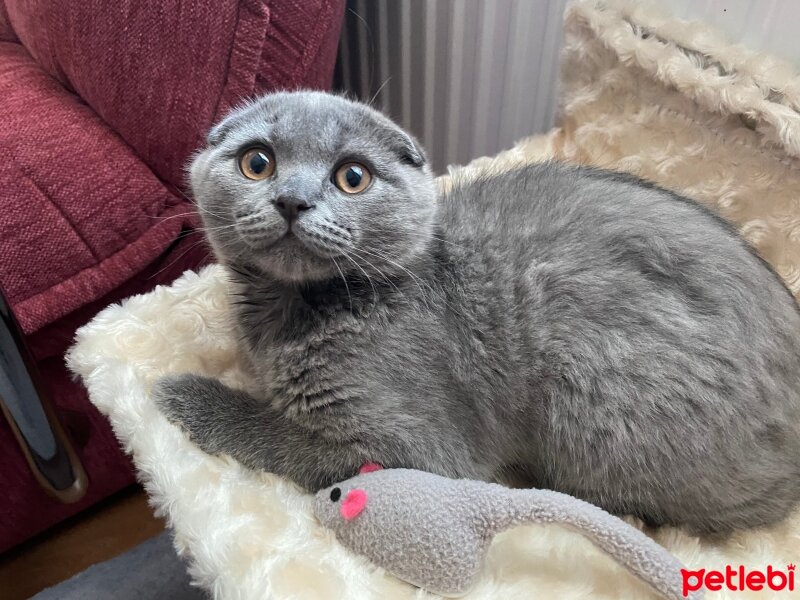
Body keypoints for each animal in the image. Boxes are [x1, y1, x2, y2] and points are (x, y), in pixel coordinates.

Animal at [156, 90, 800, 536]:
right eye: (257, 162)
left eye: (352, 176)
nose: (292, 200)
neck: (293, 312)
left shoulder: (421, 451)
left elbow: (283, 435)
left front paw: (185, 395)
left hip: (591, 383)